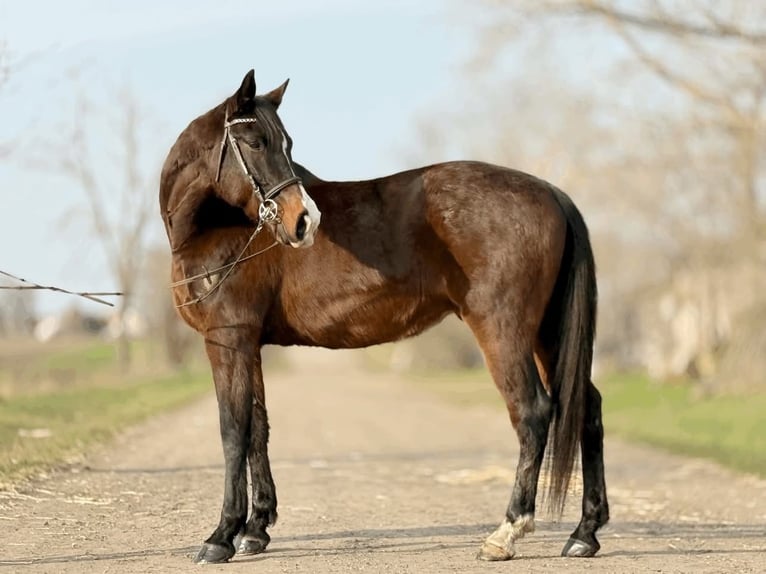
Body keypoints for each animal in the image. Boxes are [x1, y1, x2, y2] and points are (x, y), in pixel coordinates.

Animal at [159, 70, 609, 564]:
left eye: (285, 144)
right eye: (256, 142)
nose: (304, 221)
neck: (219, 227)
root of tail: (550, 192)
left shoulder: (228, 339)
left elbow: (233, 430)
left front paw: (221, 535)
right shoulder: (249, 343)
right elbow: (258, 428)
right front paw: (256, 529)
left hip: (504, 331)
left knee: (532, 412)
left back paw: (507, 532)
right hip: (548, 333)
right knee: (587, 407)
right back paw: (584, 533)